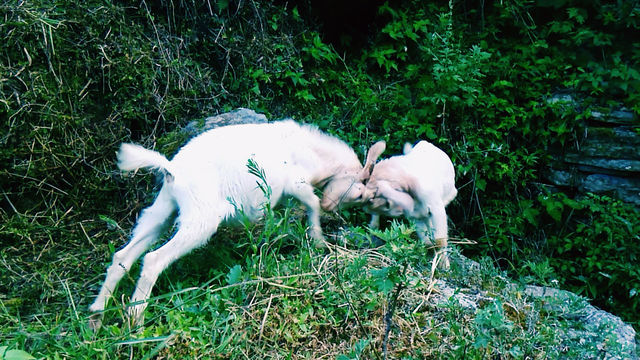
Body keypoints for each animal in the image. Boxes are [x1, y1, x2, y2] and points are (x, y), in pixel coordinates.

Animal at [87, 119, 382, 328]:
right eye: (359, 193)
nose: (369, 204)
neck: (310, 153)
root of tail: (173, 170)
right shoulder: (295, 184)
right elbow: (313, 203)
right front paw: (319, 242)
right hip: (200, 220)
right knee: (152, 260)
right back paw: (135, 321)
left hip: (163, 209)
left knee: (123, 257)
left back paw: (96, 319)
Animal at [362, 141, 458, 270]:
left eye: (373, 195)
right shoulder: (417, 217)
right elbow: (427, 242)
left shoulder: (436, 208)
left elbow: (439, 241)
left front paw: (443, 265)